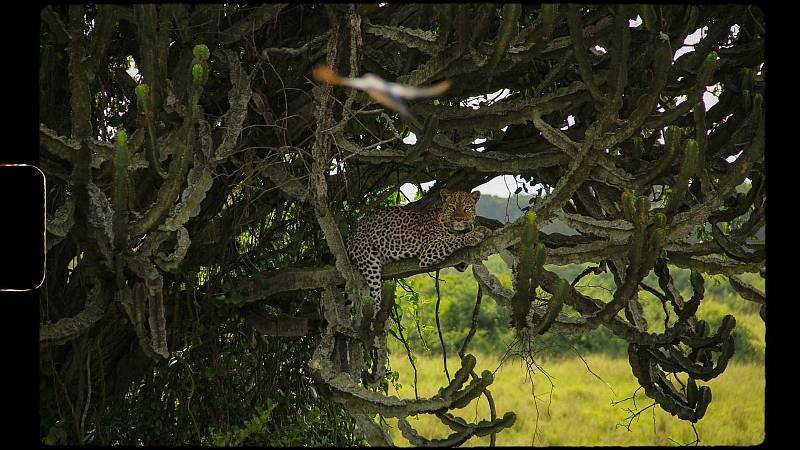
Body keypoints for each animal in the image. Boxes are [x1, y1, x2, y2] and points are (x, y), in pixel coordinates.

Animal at [346, 190, 484, 320]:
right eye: (452, 207)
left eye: (466, 208)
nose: (459, 219)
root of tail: (351, 234)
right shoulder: (429, 249)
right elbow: (453, 239)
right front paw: (473, 235)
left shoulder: (460, 263)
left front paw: (471, 228)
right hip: (368, 261)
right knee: (373, 294)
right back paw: (373, 313)